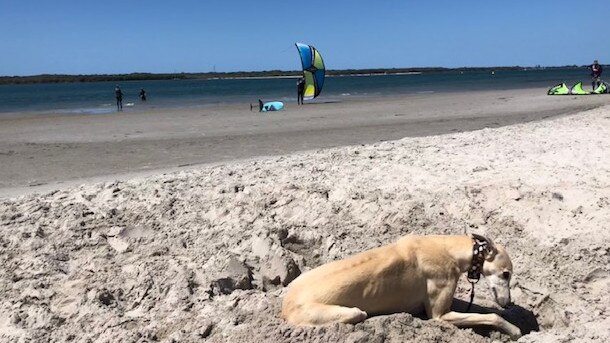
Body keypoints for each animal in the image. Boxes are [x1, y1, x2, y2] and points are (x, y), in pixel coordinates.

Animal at [282, 235, 520, 340]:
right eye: (506, 274)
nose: (508, 303)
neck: (449, 248)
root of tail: (284, 306)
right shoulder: (439, 316)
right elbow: (492, 316)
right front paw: (514, 330)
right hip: (350, 312)